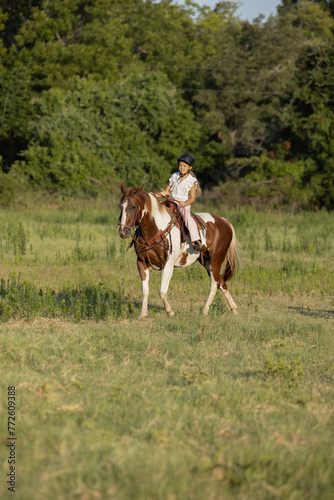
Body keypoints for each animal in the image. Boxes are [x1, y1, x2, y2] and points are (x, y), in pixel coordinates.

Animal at [118, 186, 239, 318]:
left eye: (134, 207)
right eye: (120, 206)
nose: (123, 232)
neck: (154, 229)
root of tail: (224, 221)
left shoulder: (168, 265)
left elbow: (162, 291)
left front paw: (170, 312)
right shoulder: (141, 262)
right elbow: (145, 290)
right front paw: (143, 314)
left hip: (215, 261)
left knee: (214, 284)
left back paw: (205, 310)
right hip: (207, 263)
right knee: (221, 282)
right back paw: (234, 309)